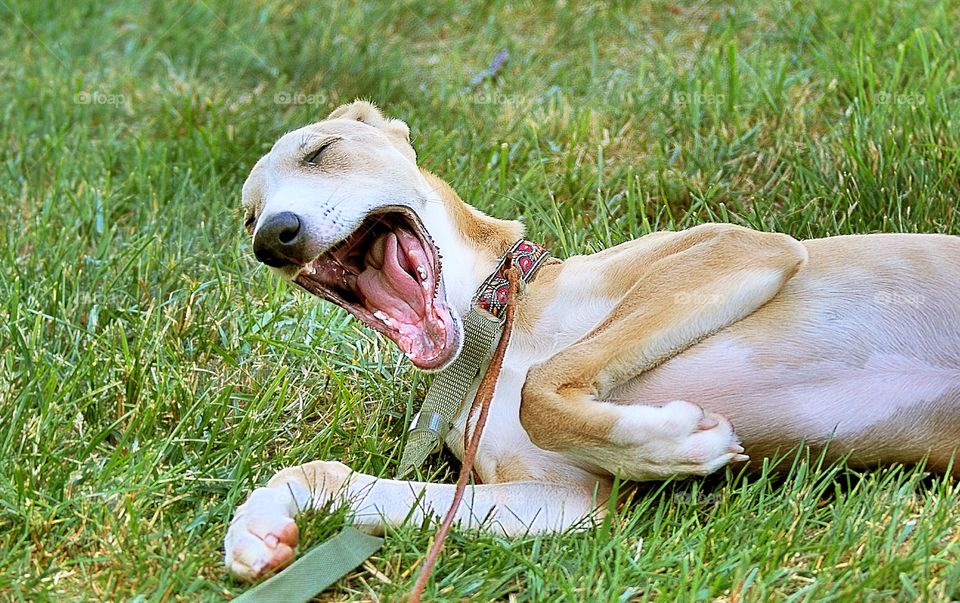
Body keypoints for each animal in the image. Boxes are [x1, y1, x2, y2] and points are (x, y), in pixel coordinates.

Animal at [223, 101, 960, 584]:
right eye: (249, 217)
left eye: (320, 152)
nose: (274, 239)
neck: (490, 334)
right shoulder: (561, 499)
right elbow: (342, 480)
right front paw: (261, 520)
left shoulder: (738, 248)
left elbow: (542, 387)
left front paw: (672, 442)